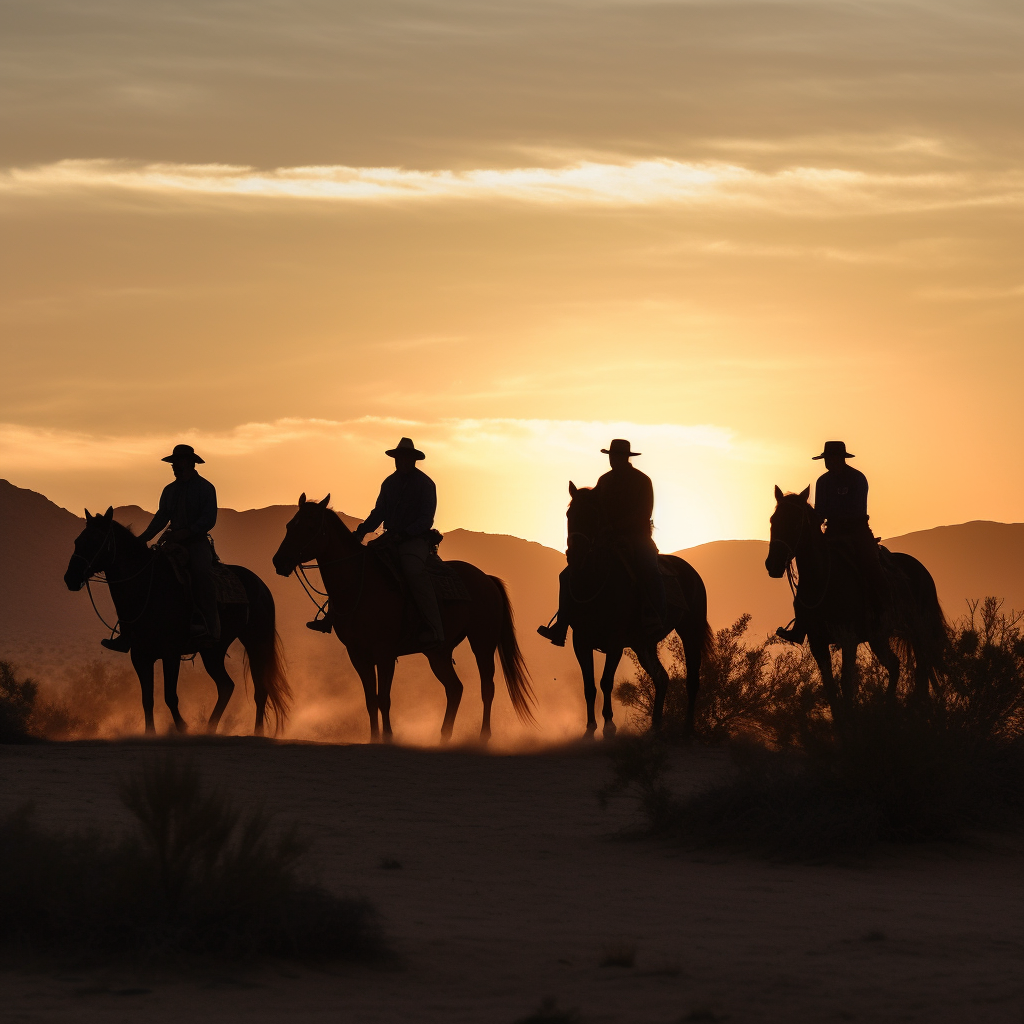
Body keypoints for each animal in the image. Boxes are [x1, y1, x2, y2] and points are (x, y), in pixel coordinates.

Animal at [63, 505, 290, 737]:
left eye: (95, 541)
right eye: (77, 541)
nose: (70, 578)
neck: (147, 587)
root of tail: (261, 585)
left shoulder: (170, 652)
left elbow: (170, 696)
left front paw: (182, 727)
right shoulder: (140, 655)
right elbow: (147, 699)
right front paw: (150, 733)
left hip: (256, 642)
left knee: (260, 689)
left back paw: (257, 732)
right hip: (213, 651)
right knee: (226, 686)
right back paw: (209, 728)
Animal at [270, 491, 536, 741]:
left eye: (309, 527)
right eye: (289, 525)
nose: (279, 561)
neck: (361, 584)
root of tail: (487, 579)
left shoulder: (385, 652)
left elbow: (384, 698)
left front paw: (388, 737)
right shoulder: (357, 654)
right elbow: (370, 700)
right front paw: (373, 738)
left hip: (482, 642)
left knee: (486, 687)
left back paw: (483, 736)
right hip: (438, 652)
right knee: (455, 688)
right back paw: (444, 735)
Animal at [561, 485, 712, 737]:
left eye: (594, 516)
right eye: (569, 515)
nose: (575, 555)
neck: (594, 583)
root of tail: (691, 572)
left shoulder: (615, 642)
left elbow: (606, 682)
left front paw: (609, 726)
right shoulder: (580, 641)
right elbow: (589, 686)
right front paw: (590, 729)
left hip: (690, 631)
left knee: (692, 679)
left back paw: (687, 728)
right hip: (643, 645)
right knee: (662, 678)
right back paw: (655, 726)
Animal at [765, 485, 946, 712]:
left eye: (796, 521)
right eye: (773, 520)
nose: (773, 564)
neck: (824, 581)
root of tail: (921, 568)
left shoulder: (848, 639)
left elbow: (846, 684)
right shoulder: (818, 643)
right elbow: (831, 688)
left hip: (917, 629)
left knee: (923, 664)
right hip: (879, 637)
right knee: (896, 666)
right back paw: (889, 703)